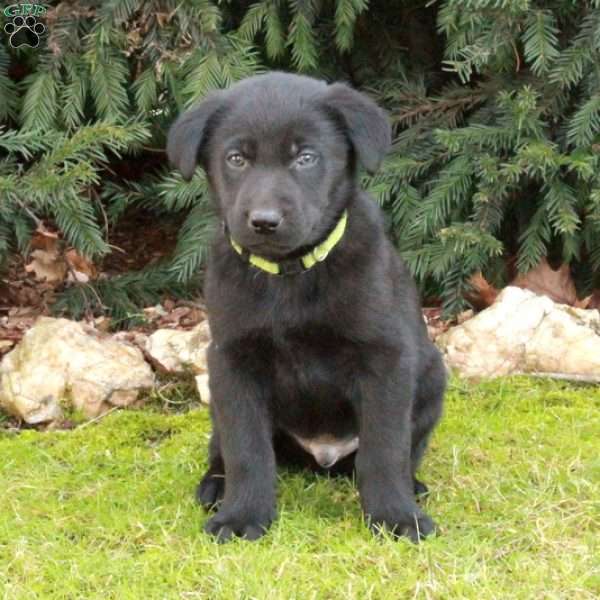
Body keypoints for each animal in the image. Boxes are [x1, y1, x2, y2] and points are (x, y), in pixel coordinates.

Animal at [168, 72, 446, 540]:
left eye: (306, 158)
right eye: (236, 159)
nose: (264, 221)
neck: (290, 276)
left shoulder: (385, 357)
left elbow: (384, 449)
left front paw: (395, 515)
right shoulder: (231, 360)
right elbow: (247, 449)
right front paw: (242, 515)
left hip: (432, 375)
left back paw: (413, 486)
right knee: (223, 447)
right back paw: (215, 487)